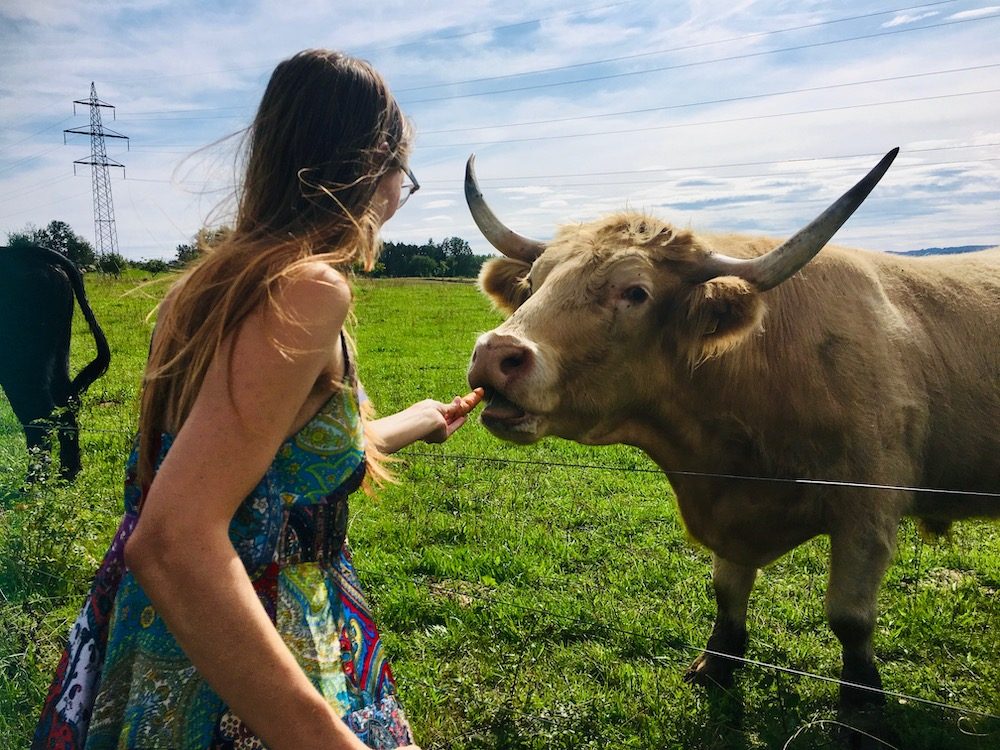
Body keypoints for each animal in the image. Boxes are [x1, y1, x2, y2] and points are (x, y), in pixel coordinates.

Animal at [0, 245, 111, 481]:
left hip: (21, 363)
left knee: (39, 413)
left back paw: (34, 481)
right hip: (58, 355)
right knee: (67, 402)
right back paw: (68, 472)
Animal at [464, 148, 1000, 739]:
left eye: (635, 292)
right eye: (533, 283)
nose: (495, 354)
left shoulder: (868, 509)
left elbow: (849, 616)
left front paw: (861, 708)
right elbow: (727, 589)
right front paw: (716, 665)